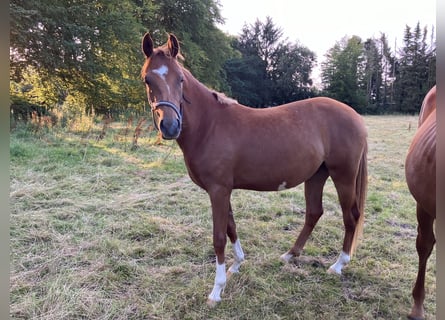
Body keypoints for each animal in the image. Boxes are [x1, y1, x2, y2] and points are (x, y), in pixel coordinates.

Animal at [140, 33, 366, 304]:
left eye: (180, 79)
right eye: (147, 79)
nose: (170, 126)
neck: (210, 125)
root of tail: (355, 116)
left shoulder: (218, 190)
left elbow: (219, 237)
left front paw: (216, 290)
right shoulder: (222, 190)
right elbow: (231, 227)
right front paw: (237, 265)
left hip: (343, 175)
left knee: (350, 217)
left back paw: (338, 265)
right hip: (316, 175)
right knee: (314, 213)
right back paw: (290, 255)